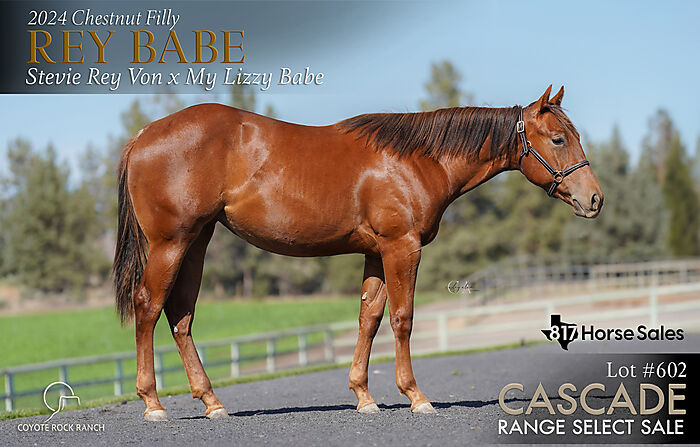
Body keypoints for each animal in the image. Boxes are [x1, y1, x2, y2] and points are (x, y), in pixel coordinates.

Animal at [113, 85, 603, 421]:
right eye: (558, 139)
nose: (595, 199)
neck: (416, 159)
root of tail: (144, 135)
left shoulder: (376, 254)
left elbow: (369, 318)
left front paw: (364, 397)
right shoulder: (401, 247)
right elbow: (402, 319)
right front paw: (416, 397)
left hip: (196, 242)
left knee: (180, 316)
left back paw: (212, 401)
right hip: (171, 244)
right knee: (148, 307)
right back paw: (153, 404)